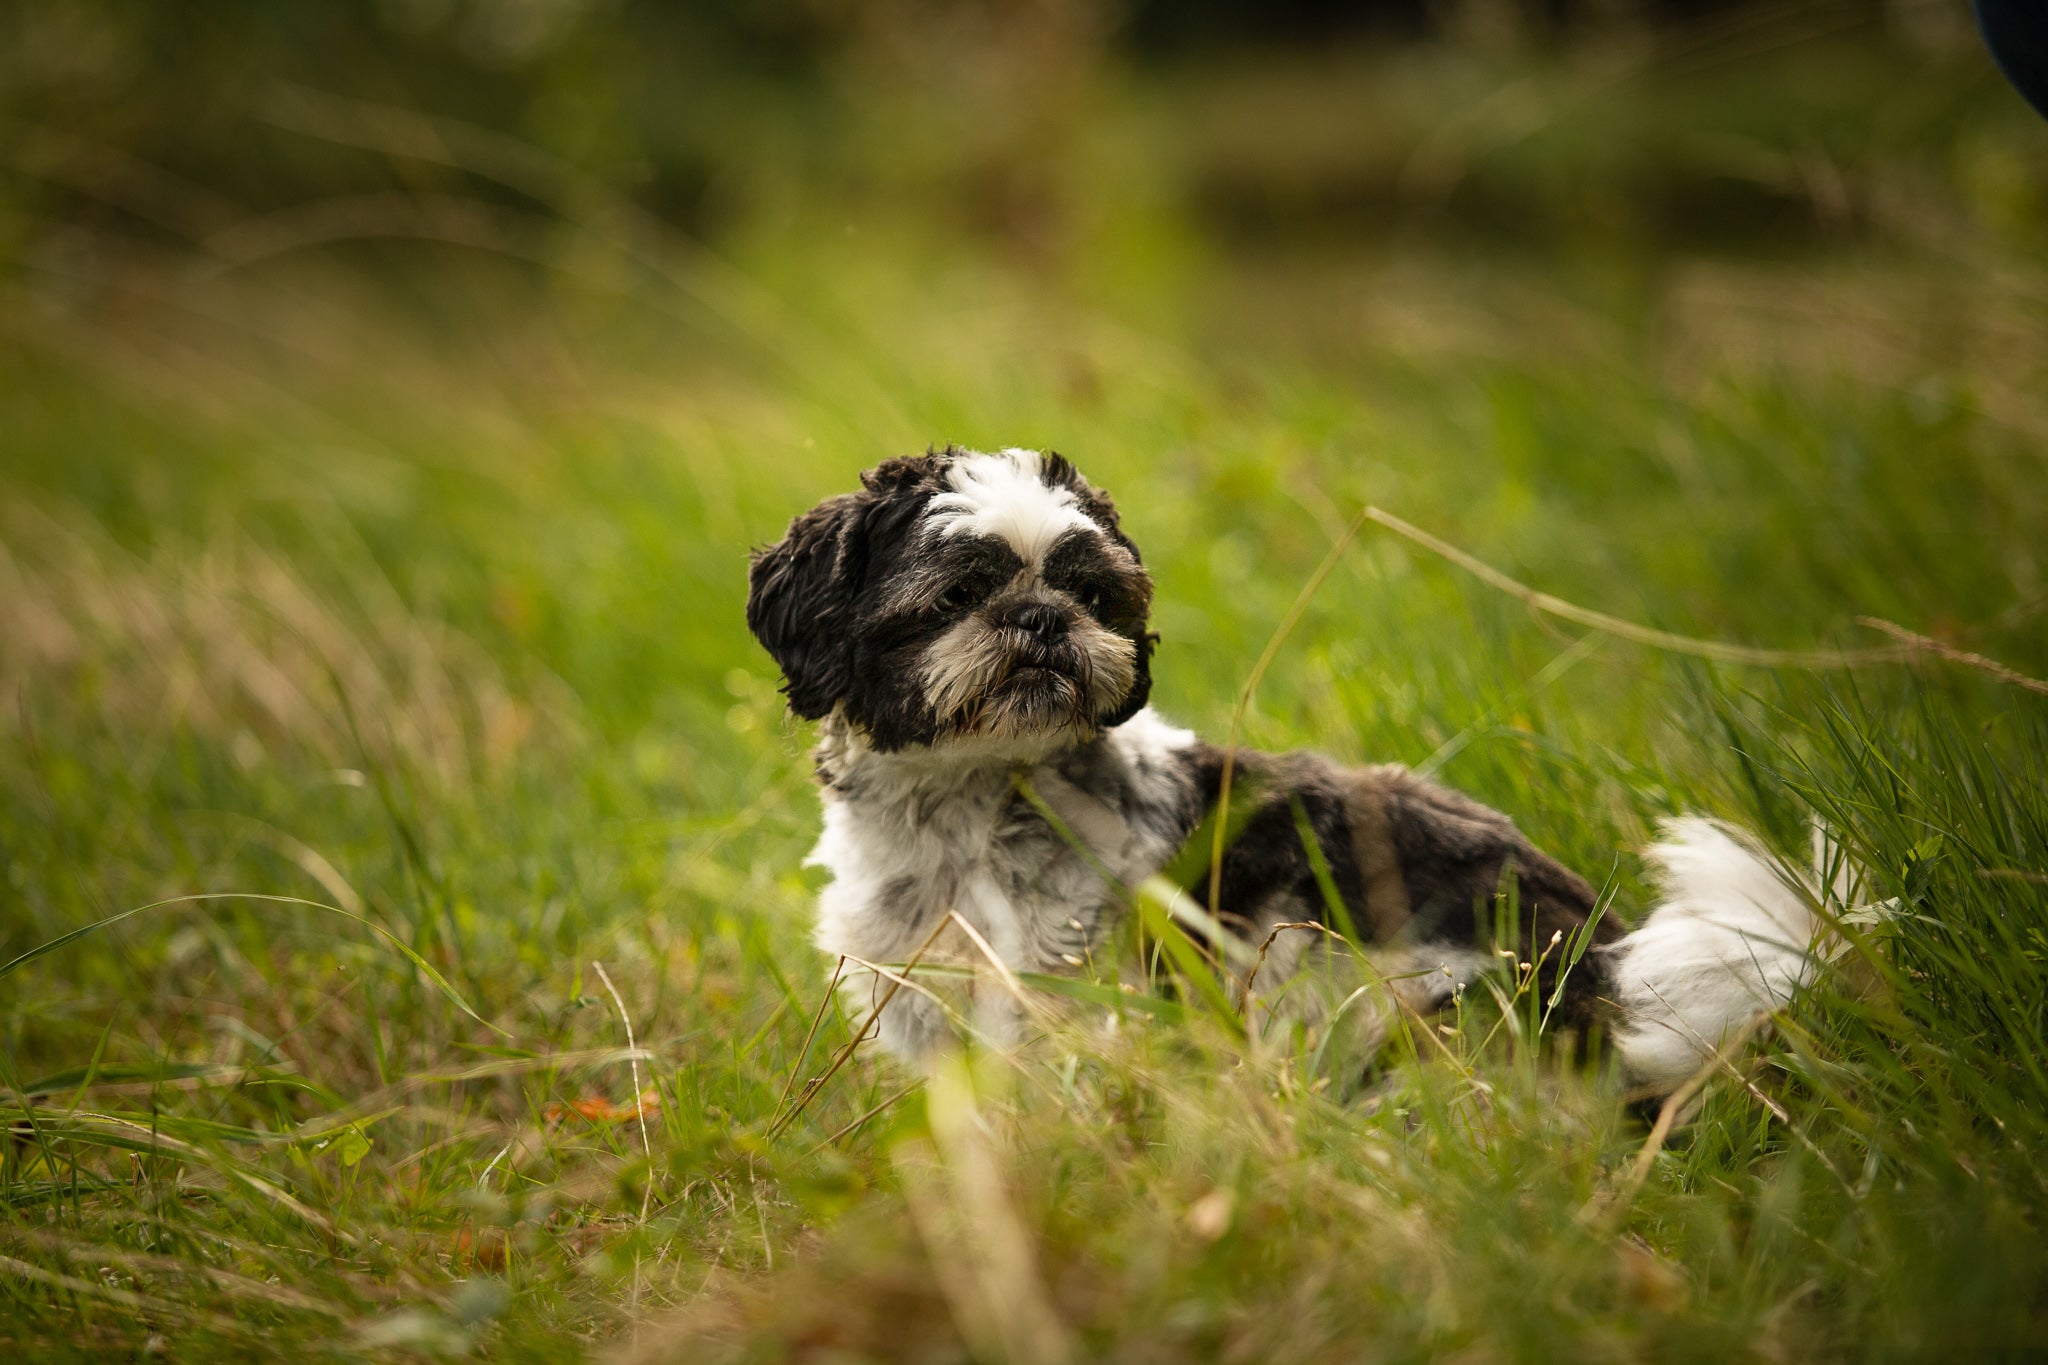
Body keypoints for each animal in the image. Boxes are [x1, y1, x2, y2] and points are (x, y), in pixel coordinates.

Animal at [749, 448, 1826, 1088]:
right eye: (958, 594)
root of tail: (1607, 963)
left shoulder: (1071, 990)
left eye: (1092, 594)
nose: (1042, 618)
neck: (971, 805)